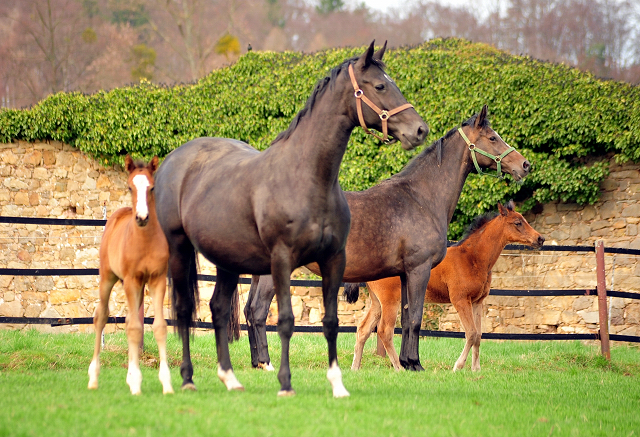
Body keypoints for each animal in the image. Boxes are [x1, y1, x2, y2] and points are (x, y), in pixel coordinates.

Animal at [152, 41, 428, 396]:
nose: (419, 130)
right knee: (186, 309)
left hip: (228, 261)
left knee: (218, 309)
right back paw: (186, 378)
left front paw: (337, 384)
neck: (306, 177)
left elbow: (331, 322)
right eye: (380, 86)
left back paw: (230, 378)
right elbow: (284, 321)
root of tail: (173, 160)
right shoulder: (282, 260)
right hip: (180, 249)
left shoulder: (334, 259)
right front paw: (285, 382)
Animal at [348, 201, 544, 372]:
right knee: (384, 331)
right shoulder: (460, 300)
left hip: (377, 302)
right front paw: (458, 366)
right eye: (518, 222)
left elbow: (479, 335)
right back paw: (399, 368)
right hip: (390, 300)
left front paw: (476, 369)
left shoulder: (477, 302)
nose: (540, 238)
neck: (472, 258)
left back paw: (355, 367)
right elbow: (471, 333)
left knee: (363, 328)